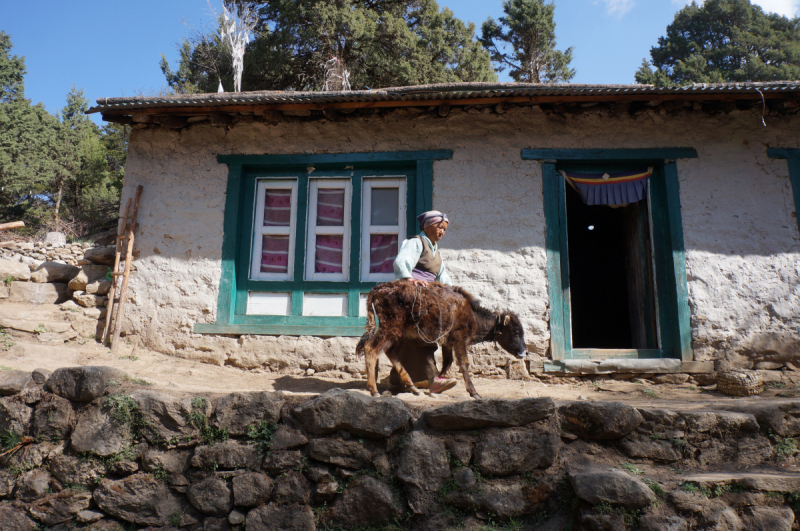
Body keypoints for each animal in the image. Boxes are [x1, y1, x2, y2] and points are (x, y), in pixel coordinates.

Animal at [354, 282, 528, 400]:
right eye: (516, 331)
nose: (524, 352)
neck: (471, 314)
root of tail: (378, 289)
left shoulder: (448, 342)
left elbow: (447, 362)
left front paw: (439, 383)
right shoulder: (459, 338)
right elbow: (463, 363)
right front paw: (474, 393)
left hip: (397, 333)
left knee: (391, 352)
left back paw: (413, 388)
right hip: (389, 330)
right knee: (371, 349)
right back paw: (374, 391)